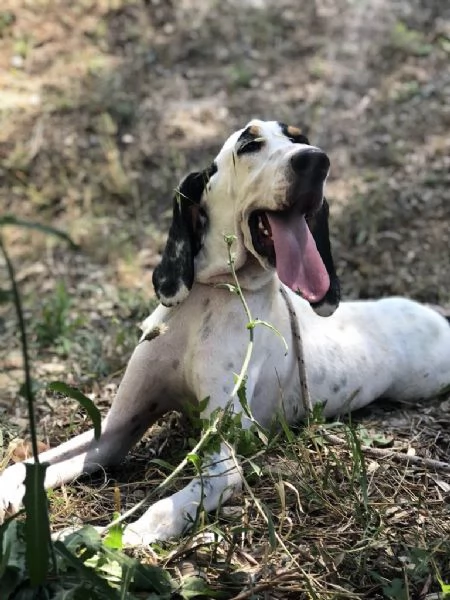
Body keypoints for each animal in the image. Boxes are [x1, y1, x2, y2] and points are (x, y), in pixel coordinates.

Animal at [0, 119, 450, 548]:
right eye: (249, 144)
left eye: (300, 138)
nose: (316, 160)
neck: (211, 297)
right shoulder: (114, 431)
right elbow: (27, 465)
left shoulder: (220, 463)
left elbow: (158, 511)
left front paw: (97, 541)